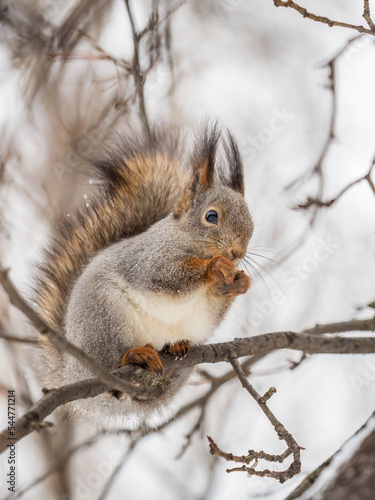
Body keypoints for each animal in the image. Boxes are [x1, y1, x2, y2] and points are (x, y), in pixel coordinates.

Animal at [35, 123, 254, 428]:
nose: (237, 252)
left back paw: (175, 351)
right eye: (211, 217)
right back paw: (135, 355)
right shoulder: (150, 259)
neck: (186, 240)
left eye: (251, 222)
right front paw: (214, 267)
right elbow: (168, 279)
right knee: (111, 363)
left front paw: (239, 283)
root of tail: (70, 373)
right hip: (103, 320)